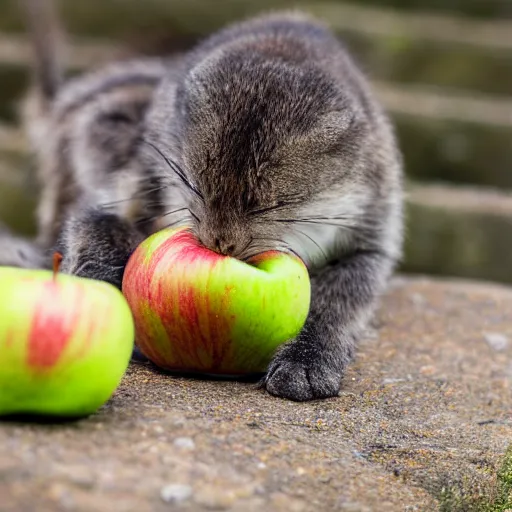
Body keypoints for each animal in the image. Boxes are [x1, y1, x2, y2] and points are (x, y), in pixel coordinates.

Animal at [5, 1, 404, 400]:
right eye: (197, 187)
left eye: (269, 205)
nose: (219, 243)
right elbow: (99, 222)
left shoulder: (372, 234)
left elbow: (340, 298)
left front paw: (308, 357)